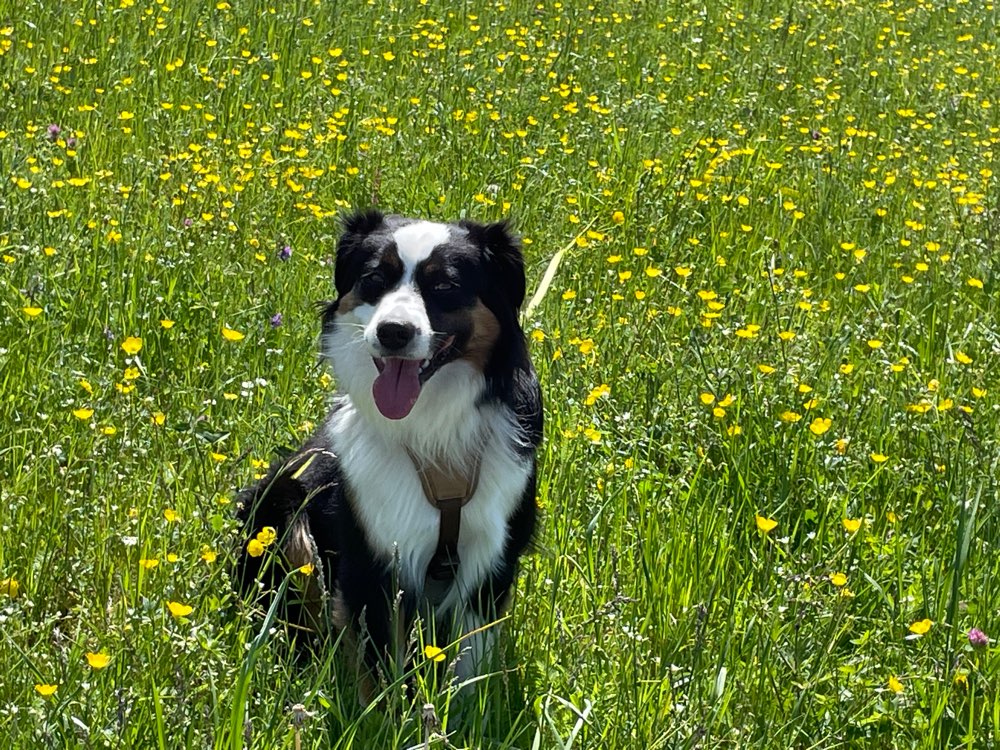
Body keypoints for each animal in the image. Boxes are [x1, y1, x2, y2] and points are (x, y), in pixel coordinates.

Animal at [235, 209, 544, 696]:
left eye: (445, 286)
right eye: (375, 279)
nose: (393, 332)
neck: (430, 431)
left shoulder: (492, 554)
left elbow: (469, 665)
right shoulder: (373, 555)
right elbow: (380, 666)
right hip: (280, 504)